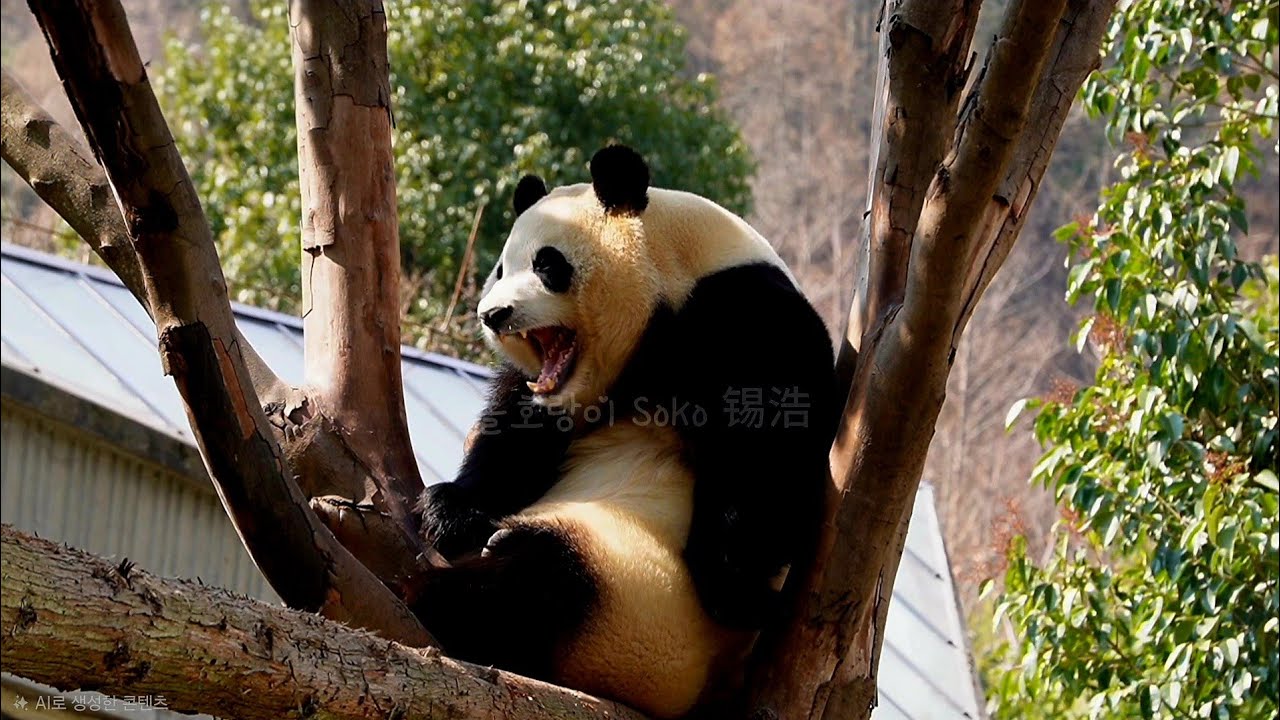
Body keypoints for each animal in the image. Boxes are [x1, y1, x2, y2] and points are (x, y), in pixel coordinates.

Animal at [412, 145, 839, 718]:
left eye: (548, 265)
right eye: (501, 268)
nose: (493, 314)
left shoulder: (747, 317)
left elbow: (770, 460)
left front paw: (734, 583)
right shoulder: (552, 397)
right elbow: (516, 435)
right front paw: (449, 510)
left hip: (640, 608)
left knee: (542, 583)